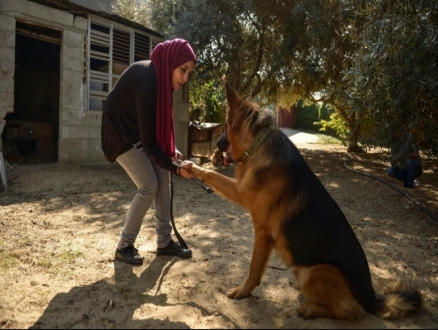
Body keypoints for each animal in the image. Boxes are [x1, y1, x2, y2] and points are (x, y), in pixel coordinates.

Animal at [190, 79, 422, 320]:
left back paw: (311, 309)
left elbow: (254, 267)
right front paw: (191, 167)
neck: (258, 143)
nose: (217, 144)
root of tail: (370, 296)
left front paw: (244, 292)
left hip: (312, 271)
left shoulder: (260, 229)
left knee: (350, 310)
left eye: (225, 126)